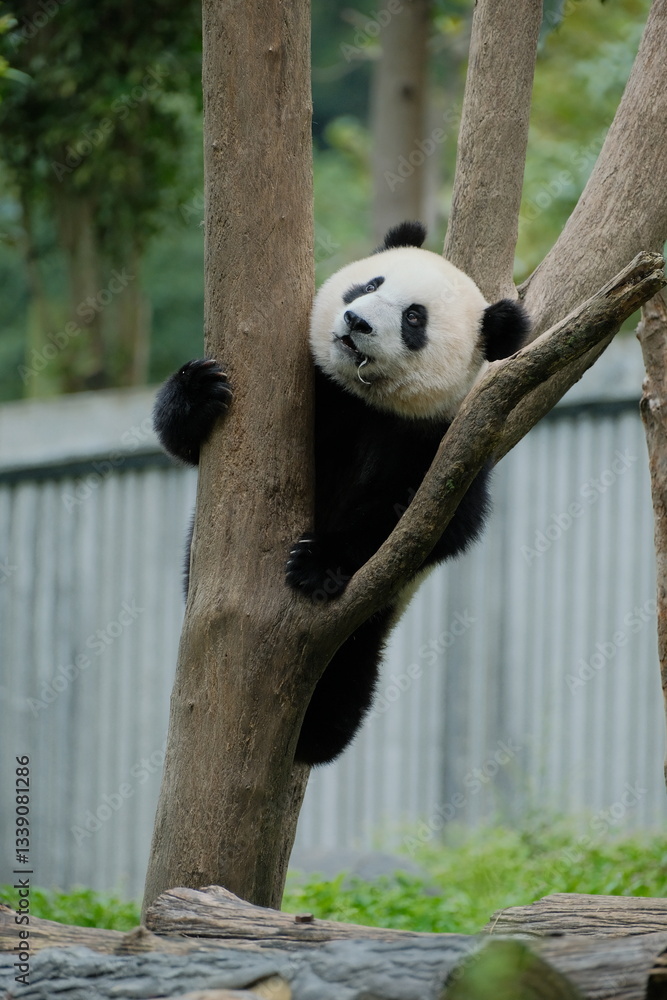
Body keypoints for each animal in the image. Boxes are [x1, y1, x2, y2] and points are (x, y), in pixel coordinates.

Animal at [153, 221, 529, 768]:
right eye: (369, 284)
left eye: (414, 317)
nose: (356, 320)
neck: (369, 401)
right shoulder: (321, 390)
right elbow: (186, 448)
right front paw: (198, 390)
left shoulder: (448, 444)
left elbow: (434, 525)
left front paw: (318, 563)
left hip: (371, 617)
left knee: (351, 670)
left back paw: (320, 728)